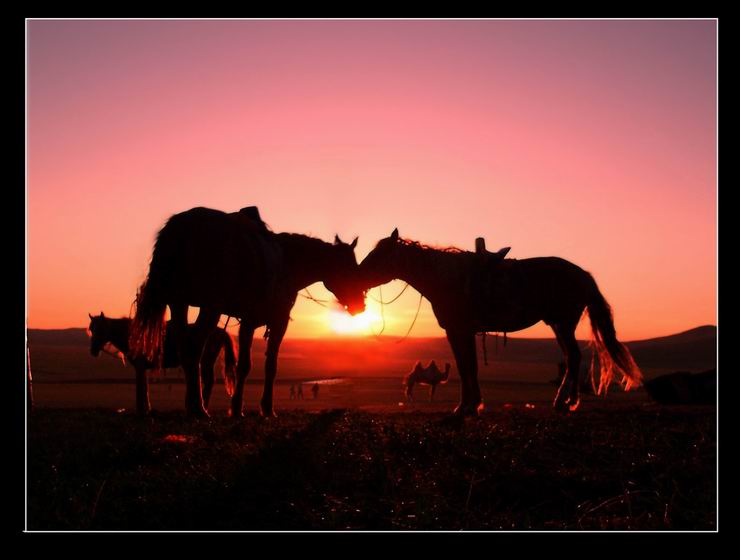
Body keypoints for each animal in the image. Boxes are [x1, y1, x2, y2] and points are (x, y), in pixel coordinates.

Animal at [88, 312, 236, 414]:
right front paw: (145, 409)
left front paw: (143, 410)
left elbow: (142, 387)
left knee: (209, 381)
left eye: (100, 329)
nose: (93, 350)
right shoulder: (141, 367)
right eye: (91, 329)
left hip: (206, 362)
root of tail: (220, 331)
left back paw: (203, 406)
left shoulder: (140, 366)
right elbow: (144, 386)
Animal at [130, 208, 368, 418]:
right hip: (210, 307)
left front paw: (237, 408)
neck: (287, 262)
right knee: (194, 347)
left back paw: (193, 405)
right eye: (350, 268)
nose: (361, 304)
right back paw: (199, 408)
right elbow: (267, 366)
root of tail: (181, 226)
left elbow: (245, 365)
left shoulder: (248, 321)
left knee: (185, 347)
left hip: (178, 303)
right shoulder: (276, 321)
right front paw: (263, 409)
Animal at [358, 228, 640, 416]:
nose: (358, 275)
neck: (446, 277)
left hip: (563, 323)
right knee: (573, 358)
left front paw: (466, 407)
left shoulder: (460, 329)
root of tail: (582, 274)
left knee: (573, 357)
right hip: (558, 325)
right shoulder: (458, 331)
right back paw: (569, 402)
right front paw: (471, 404)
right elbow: (467, 366)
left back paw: (563, 402)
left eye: (379, 255)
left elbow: (467, 367)